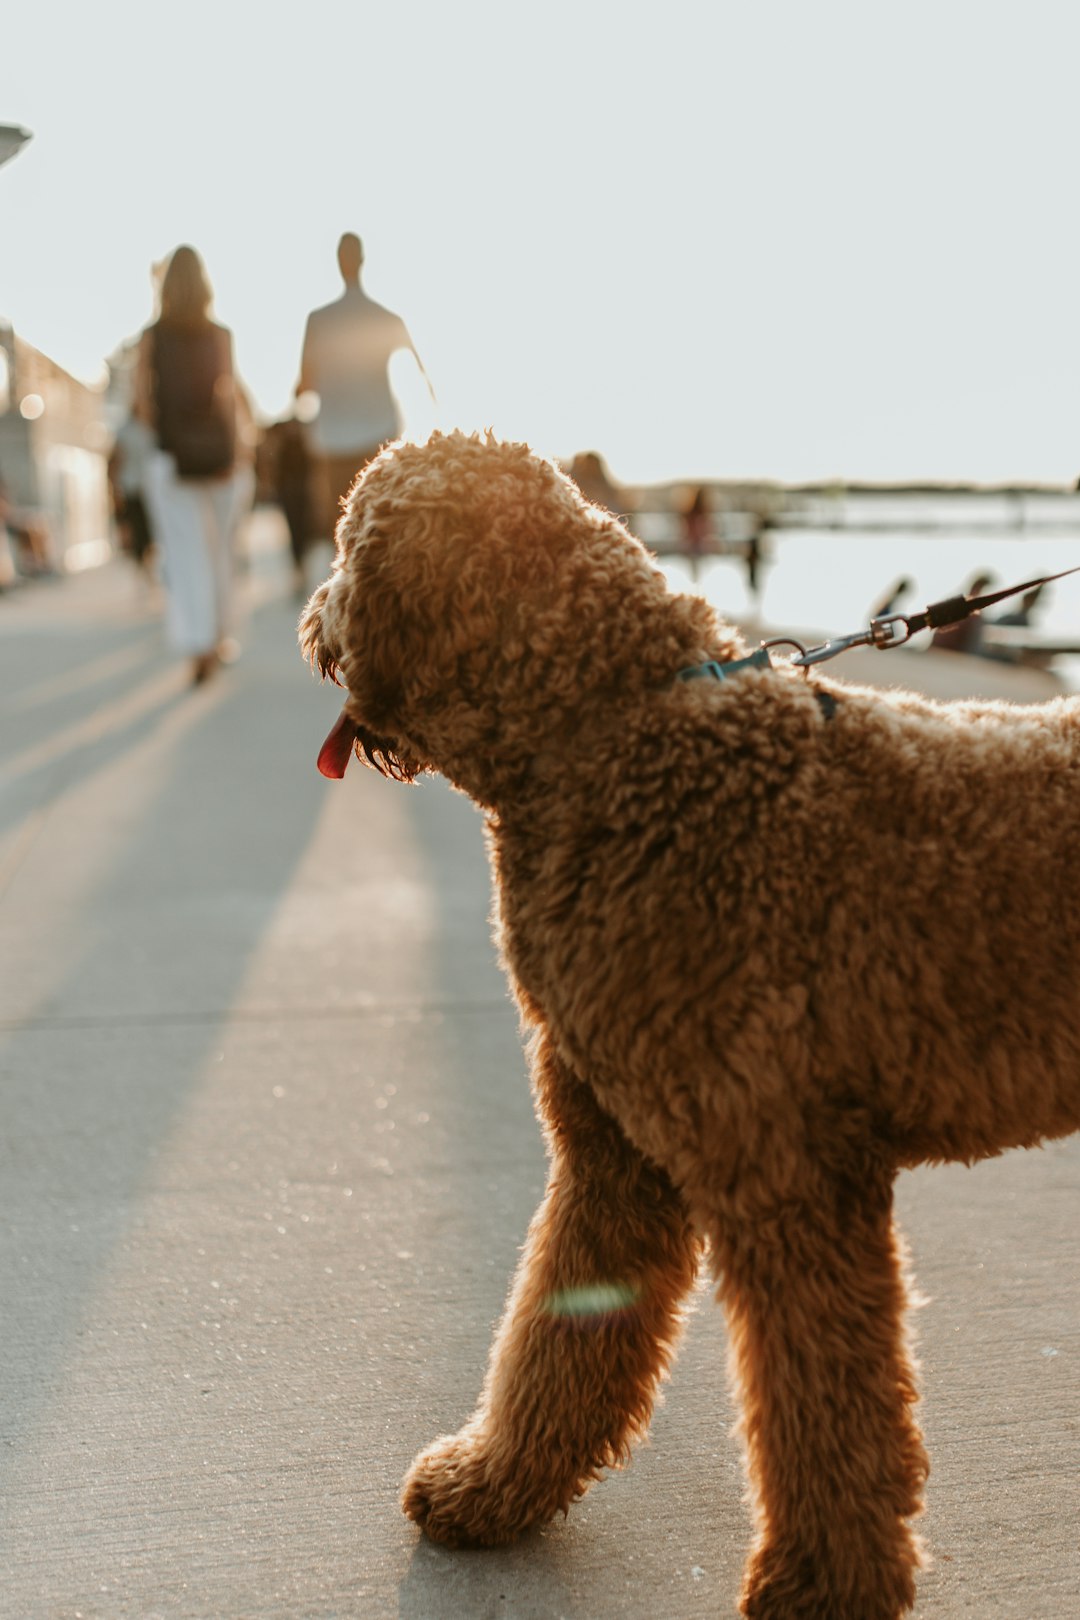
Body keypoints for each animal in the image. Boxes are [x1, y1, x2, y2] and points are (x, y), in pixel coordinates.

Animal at [297, 430, 1080, 1620]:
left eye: (345, 543)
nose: (310, 616)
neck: (613, 736)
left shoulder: (787, 1176)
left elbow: (825, 1407)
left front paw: (823, 1588)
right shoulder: (612, 1157)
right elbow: (556, 1333)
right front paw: (494, 1488)